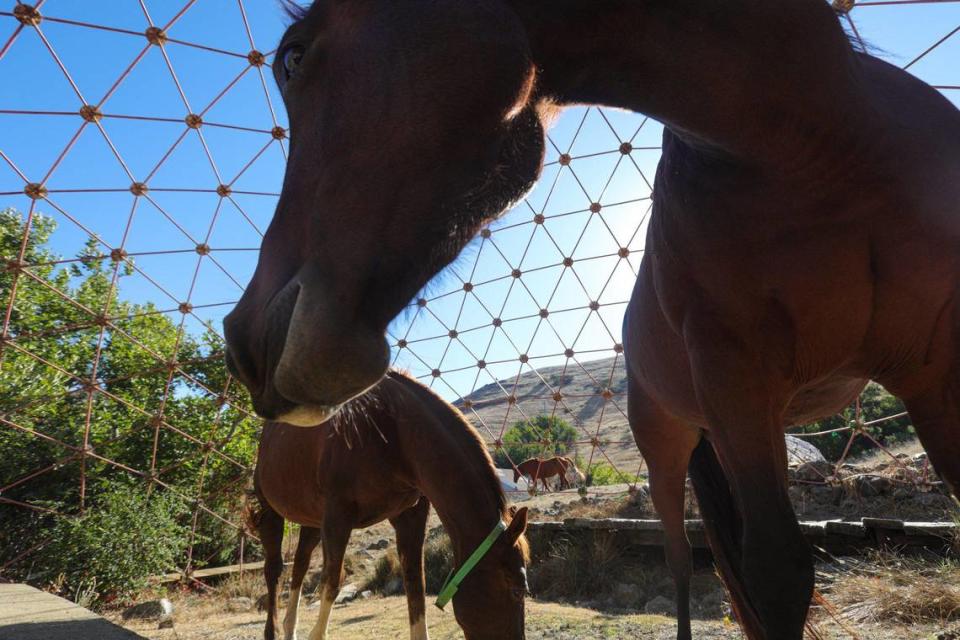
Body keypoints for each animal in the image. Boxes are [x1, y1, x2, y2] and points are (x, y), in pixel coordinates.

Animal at [251, 370, 528, 640]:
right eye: (517, 591)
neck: (393, 433)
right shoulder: (337, 517)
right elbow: (332, 581)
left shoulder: (410, 515)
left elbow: (415, 584)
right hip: (270, 510)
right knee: (274, 570)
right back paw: (272, 629)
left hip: (312, 520)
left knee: (300, 565)